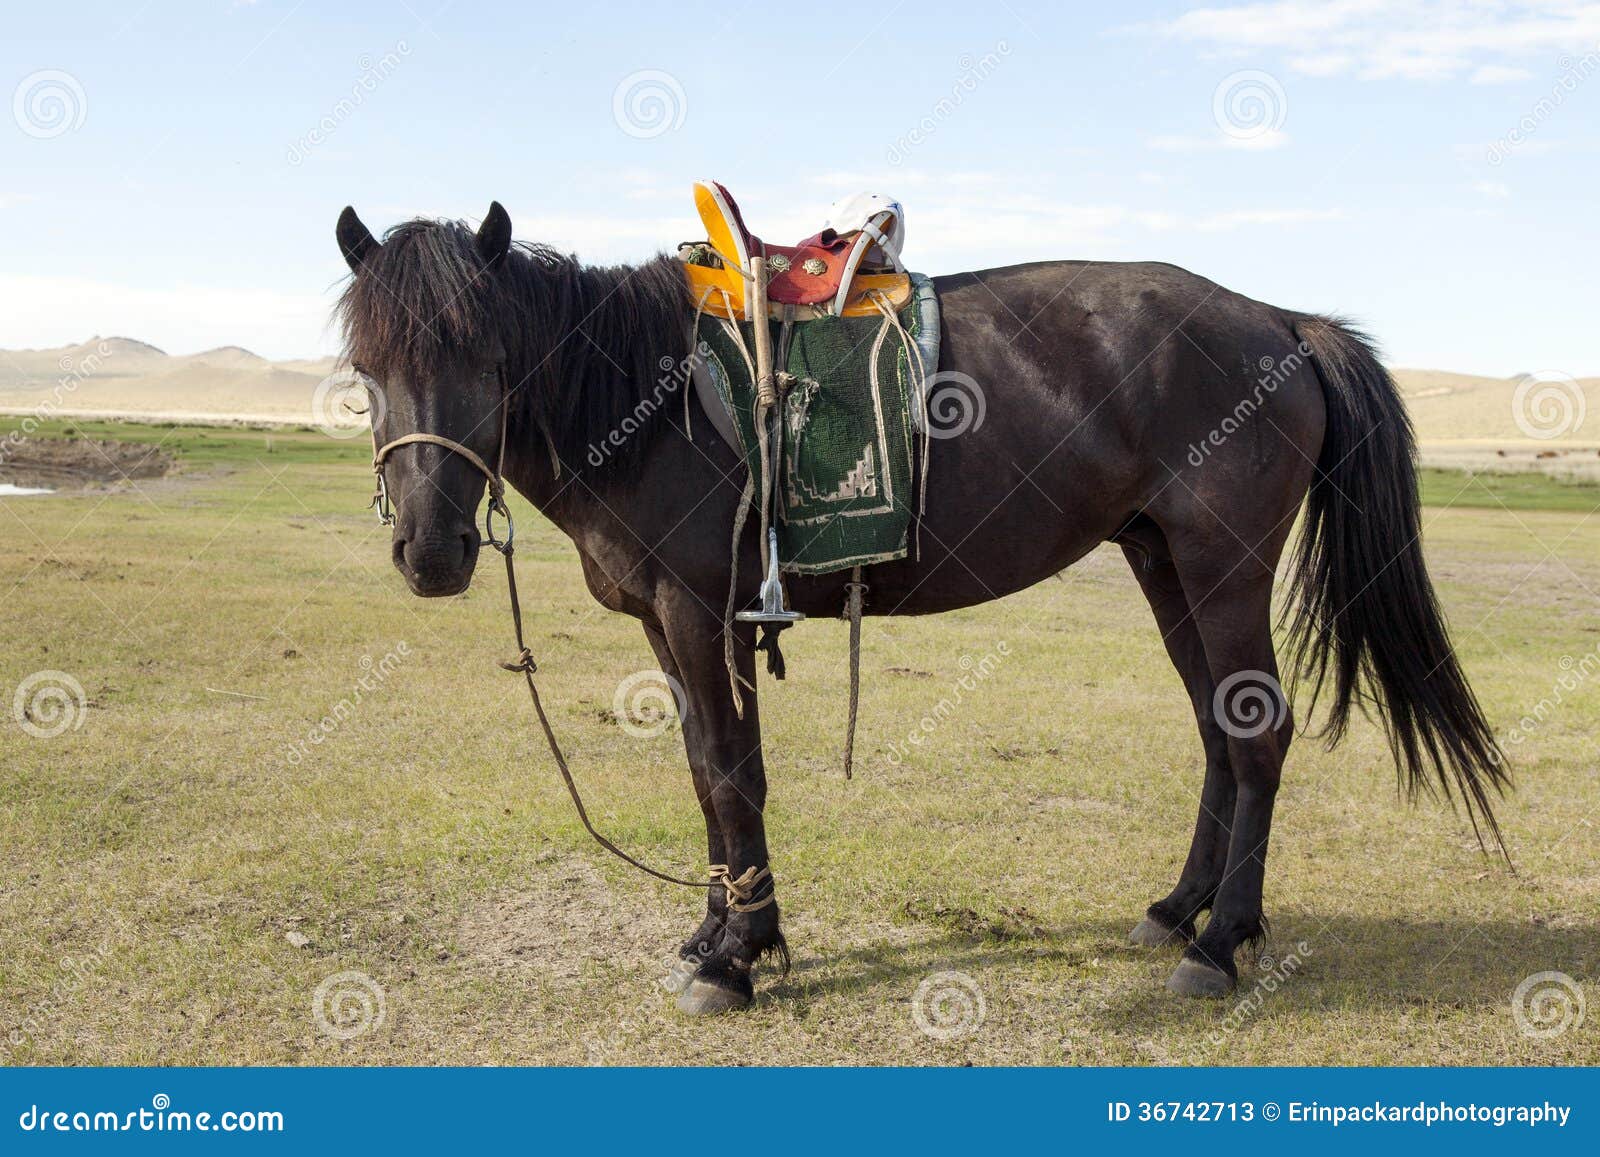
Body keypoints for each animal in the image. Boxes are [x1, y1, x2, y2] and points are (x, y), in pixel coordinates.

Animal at [332, 201, 1507, 1014]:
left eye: (488, 355)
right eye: (365, 366)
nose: (429, 550)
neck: (646, 397)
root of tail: (1279, 321)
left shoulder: (698, 610)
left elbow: (729, 772)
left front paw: (735, 959)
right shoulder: (676, 623)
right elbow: (712, 776)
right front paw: (722, 933)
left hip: (1224, 564)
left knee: (1256, 737)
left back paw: (1222, 944)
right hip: (1165, 562)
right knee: (1219, 731)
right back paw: (1179, 912)